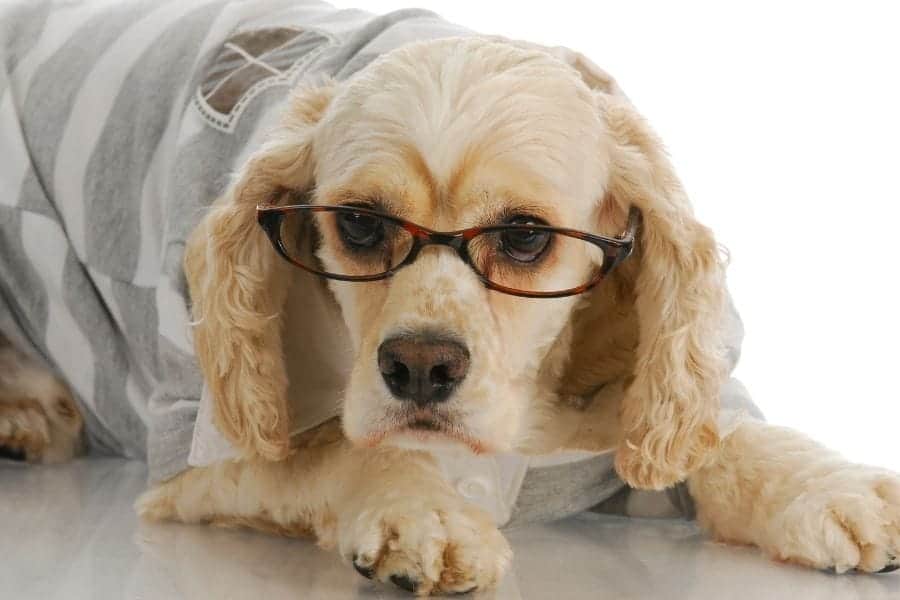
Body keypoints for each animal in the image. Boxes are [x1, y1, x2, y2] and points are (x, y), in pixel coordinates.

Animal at [1, 2, 900, 596]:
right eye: (360, 224)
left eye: (526, 237)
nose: (421, 367)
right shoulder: (196, 455)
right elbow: (345, 451)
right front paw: (422, 516)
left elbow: (722, 437)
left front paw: (832, 488)